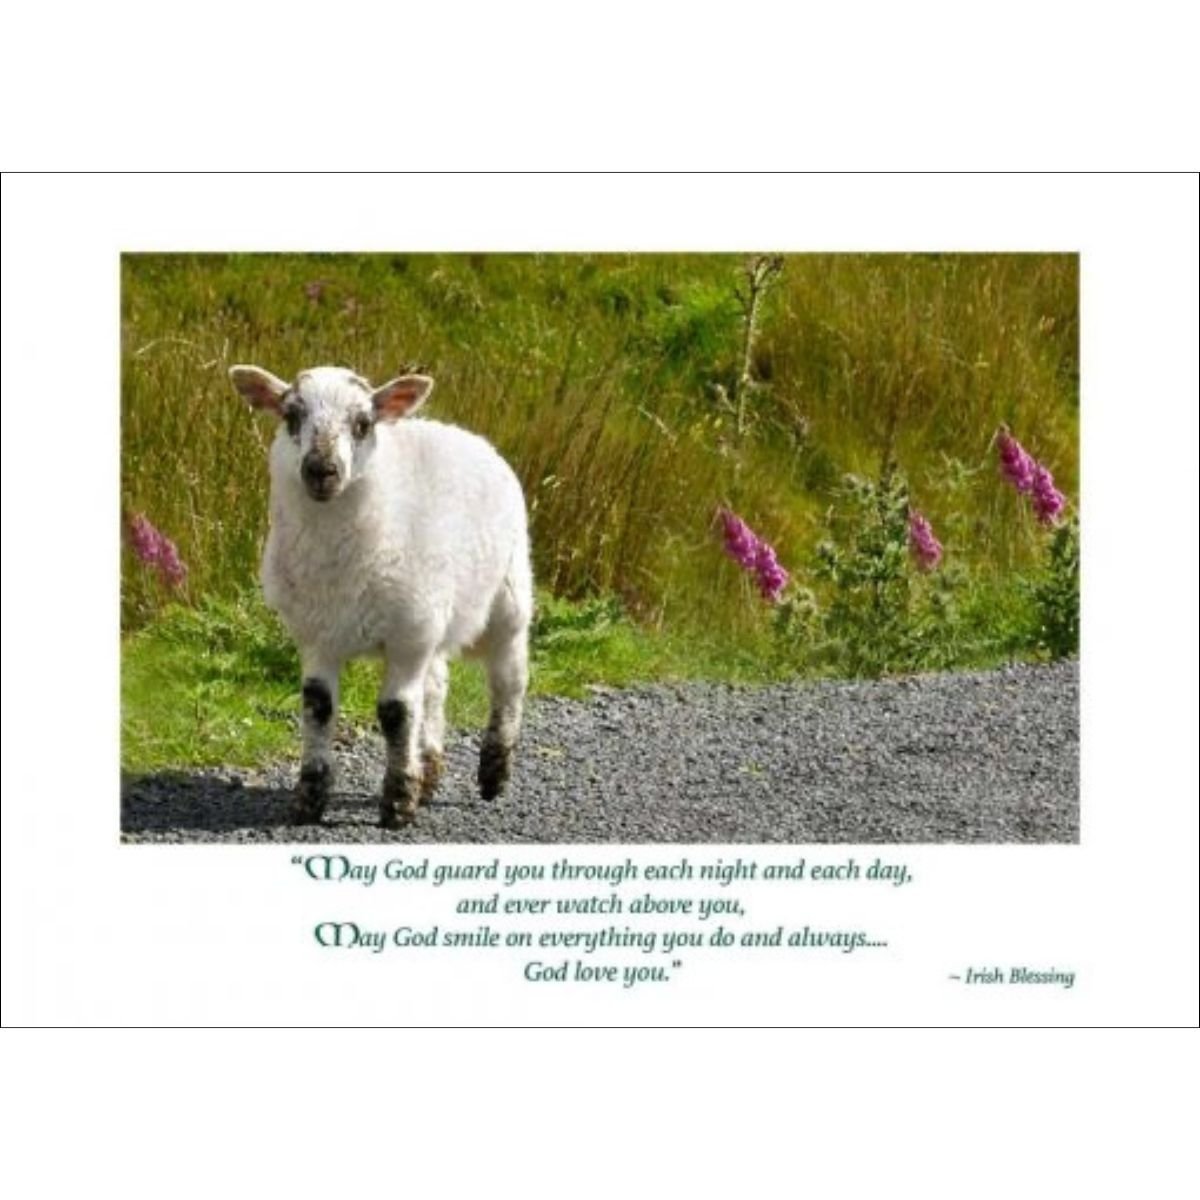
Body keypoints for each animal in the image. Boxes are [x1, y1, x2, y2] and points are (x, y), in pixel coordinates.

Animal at [229, 363, 533, 829]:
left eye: (363, 423)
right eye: (291, 415)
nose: (321, 469)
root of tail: (461, 432)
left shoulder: (407, 639)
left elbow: (396, 714)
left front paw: (397, 803)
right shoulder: (318, 637)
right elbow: (317, 707)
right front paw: (308, 800)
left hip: (507, 599)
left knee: (509, 681)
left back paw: (494, 773)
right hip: (431, 618)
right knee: (436, 687)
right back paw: (430, 770)